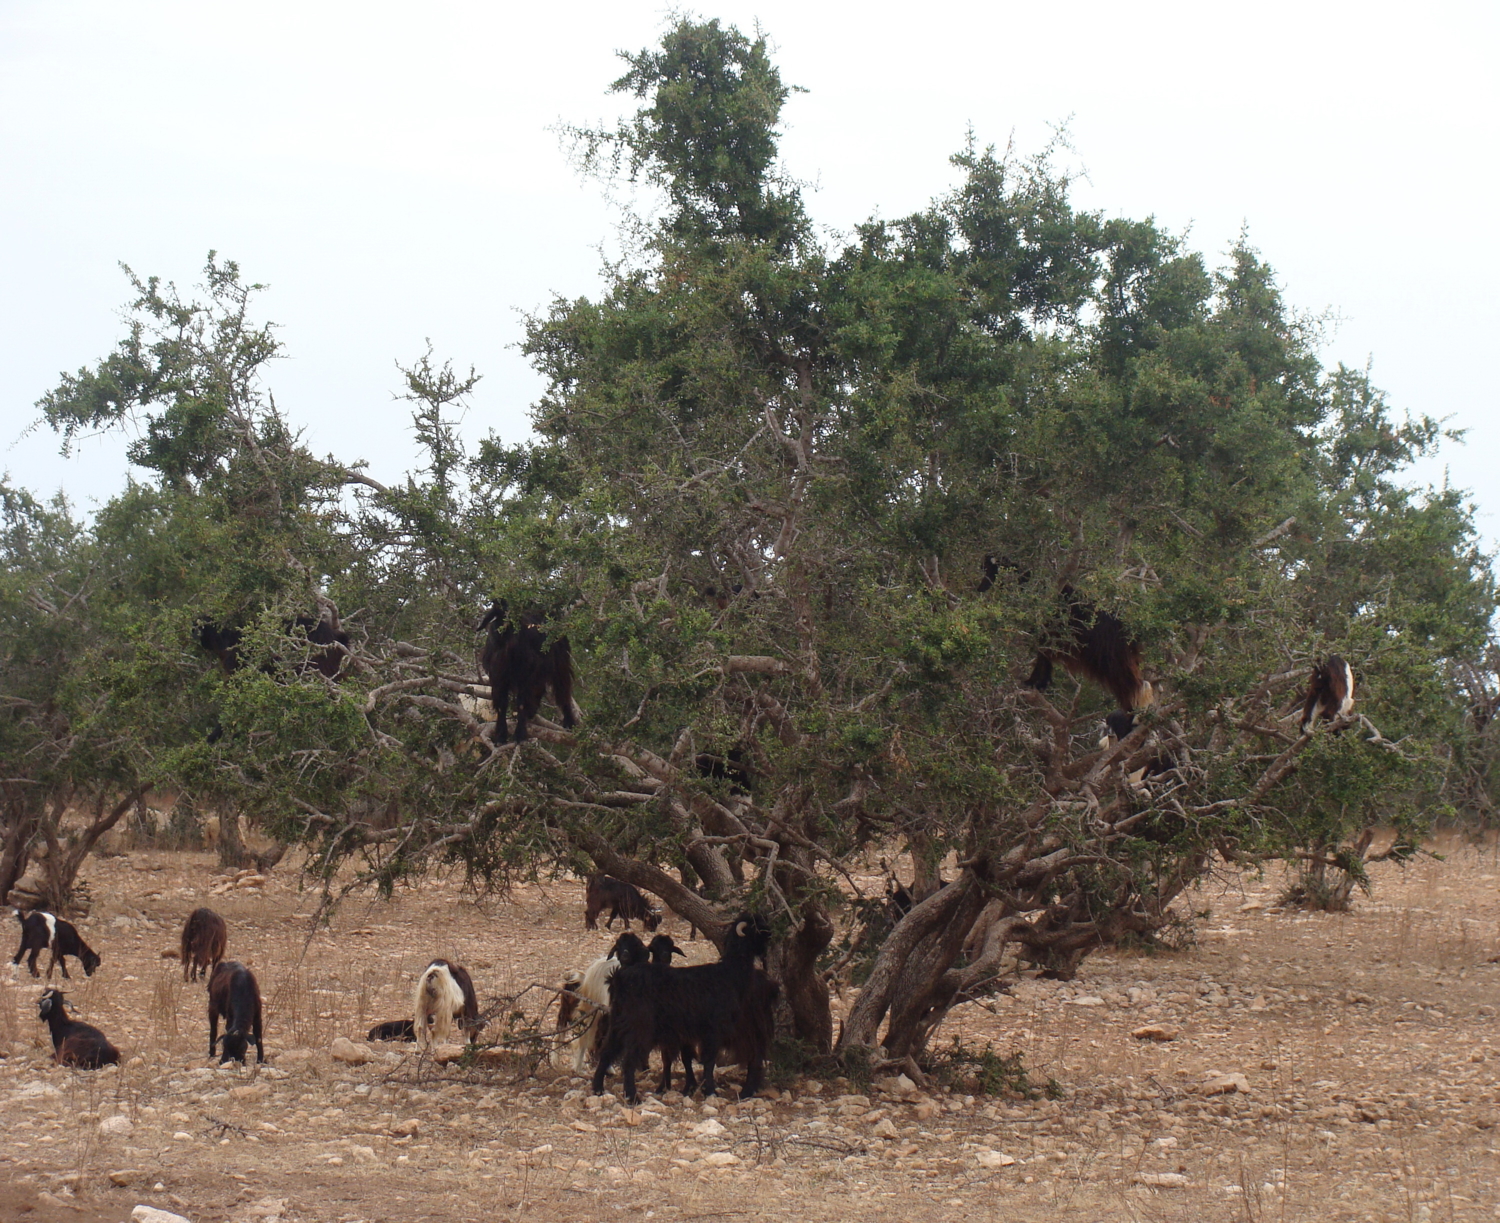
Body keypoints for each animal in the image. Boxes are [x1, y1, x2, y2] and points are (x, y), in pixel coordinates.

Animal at [477, 603, 576, 747]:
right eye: (496, 616)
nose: (501, 631)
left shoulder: (526, 677)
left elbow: (521, 703)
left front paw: (519, 734)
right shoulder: (498, 679)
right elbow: (501, 705)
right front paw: (501, 736)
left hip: (560, 663)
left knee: (563, 690)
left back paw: (569, 723)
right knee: (541, 689)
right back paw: (531, 712)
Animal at [588, 912, 774, 1104]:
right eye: (756, 927)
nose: (770, 935)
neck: (729, 972)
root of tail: (619, 978)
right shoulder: (713, 1029)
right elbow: (709, 1061)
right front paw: (710, 1091)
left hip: (618, 1023)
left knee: (606, 1053)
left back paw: (598, 1089)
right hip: (639, 1026)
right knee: (629, 1060)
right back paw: (632, 1096)